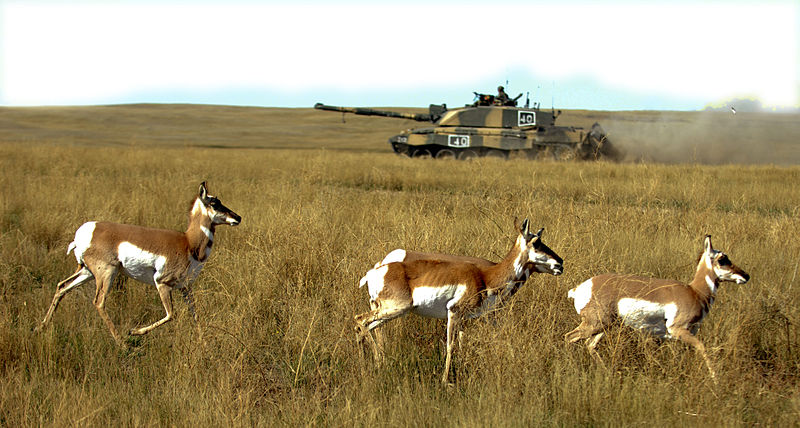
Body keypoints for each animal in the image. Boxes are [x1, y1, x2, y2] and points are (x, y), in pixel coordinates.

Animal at [35, 182, 241, 346]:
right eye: (214, 203)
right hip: (107, 274)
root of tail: (87, 231)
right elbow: (171, 314)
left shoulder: (185, 288)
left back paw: (41, 327)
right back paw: (122, 342)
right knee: (99, 302)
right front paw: (134, 331)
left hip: (87, 272)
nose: (237, 217)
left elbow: (196, 315)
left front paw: (204, 343)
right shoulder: (162, 284)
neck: (188, 243)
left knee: (62, 286)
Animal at [354, 219, 564, 382]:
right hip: (396, 309)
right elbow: (450, 345)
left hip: (387, 312)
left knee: (363, 327)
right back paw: (378, 362)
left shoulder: (470, 318)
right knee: (359, 320)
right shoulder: (454, 313)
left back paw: (368, 365)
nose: (560, 263)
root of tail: (376, 270)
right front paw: (446, 381)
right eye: (536, 242)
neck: (485, 277)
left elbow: (465, 344)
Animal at [564, 236, 748, 380]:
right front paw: (715, 379)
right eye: (722, 259)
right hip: (595, 324)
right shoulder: (678, 330)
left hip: (604, 326)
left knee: (589, 345)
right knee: (569, 337)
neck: (694, 291)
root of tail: (581, 287)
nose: (746, 275)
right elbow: (703, 348)